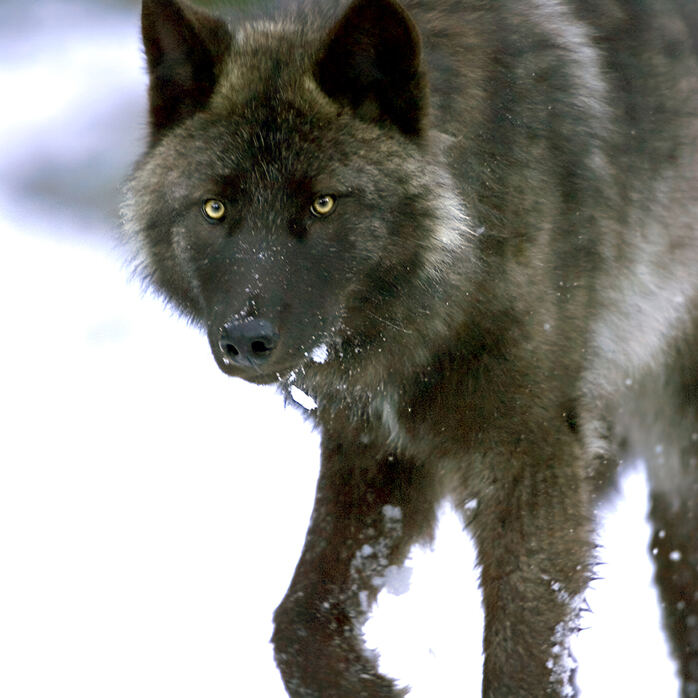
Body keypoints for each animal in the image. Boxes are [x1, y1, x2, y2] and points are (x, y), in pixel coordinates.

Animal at [123, 0, 698, 694]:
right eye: (214, 208)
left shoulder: (530, 463)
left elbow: (521, 660)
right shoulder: (375, 451)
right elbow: (298, 623)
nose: (245, 340)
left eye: (323, 203)